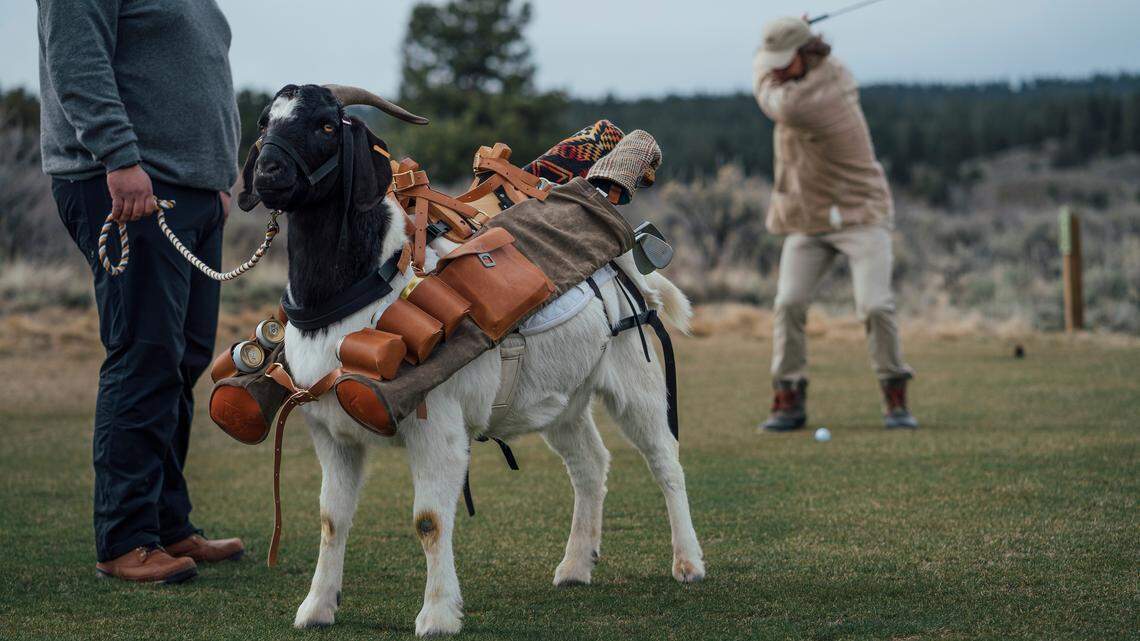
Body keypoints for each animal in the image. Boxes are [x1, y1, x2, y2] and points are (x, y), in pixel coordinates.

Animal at [238, 84, 705, 637]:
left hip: (637, 377)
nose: (268, 172)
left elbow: (429, 520)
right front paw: (316, 608)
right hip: (562, 401)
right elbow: (333, 518)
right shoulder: (330, 432)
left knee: (664, 459)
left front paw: (438, 614)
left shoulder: (436, 426)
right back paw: (575, 565)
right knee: (590, 464)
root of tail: (629, 261)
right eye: (265, 121)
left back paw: (688, 562)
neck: (363, 285)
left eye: (327, 125)